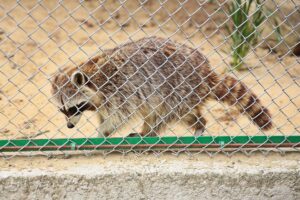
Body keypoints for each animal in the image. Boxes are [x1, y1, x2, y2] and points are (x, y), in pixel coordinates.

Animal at [51, 36, 272, 136]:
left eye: (74, 107)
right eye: (63, 110)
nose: (69, 126)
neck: (93, 76)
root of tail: (205, 72)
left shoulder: (120, 89)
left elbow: (120, 115)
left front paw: (102, 132)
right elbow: (105, 114)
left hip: (178, 89)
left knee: (163, 114)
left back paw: (149, 132)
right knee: (181, 114)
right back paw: (198, 125)